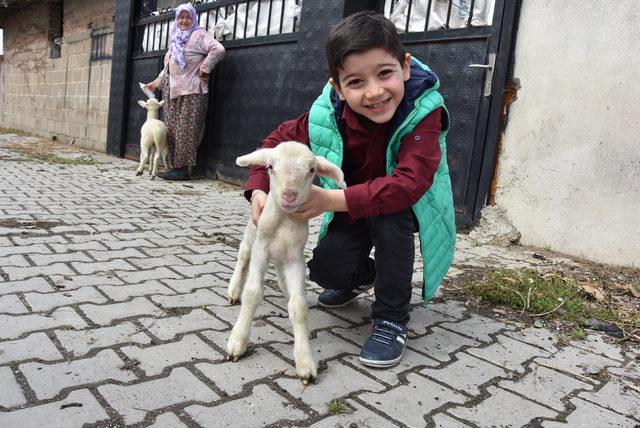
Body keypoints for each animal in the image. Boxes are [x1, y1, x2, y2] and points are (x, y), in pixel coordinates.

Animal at [225, 140, 344, 384]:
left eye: (311, 170)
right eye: (270, 167)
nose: (289, 195)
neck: (284, 221)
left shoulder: (295, 258)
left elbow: (298, 306)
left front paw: (305, 362)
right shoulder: (261, 248)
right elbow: (252, 293)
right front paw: (237, 341)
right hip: (252, 232)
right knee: (243, 255)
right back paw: (233, 290)